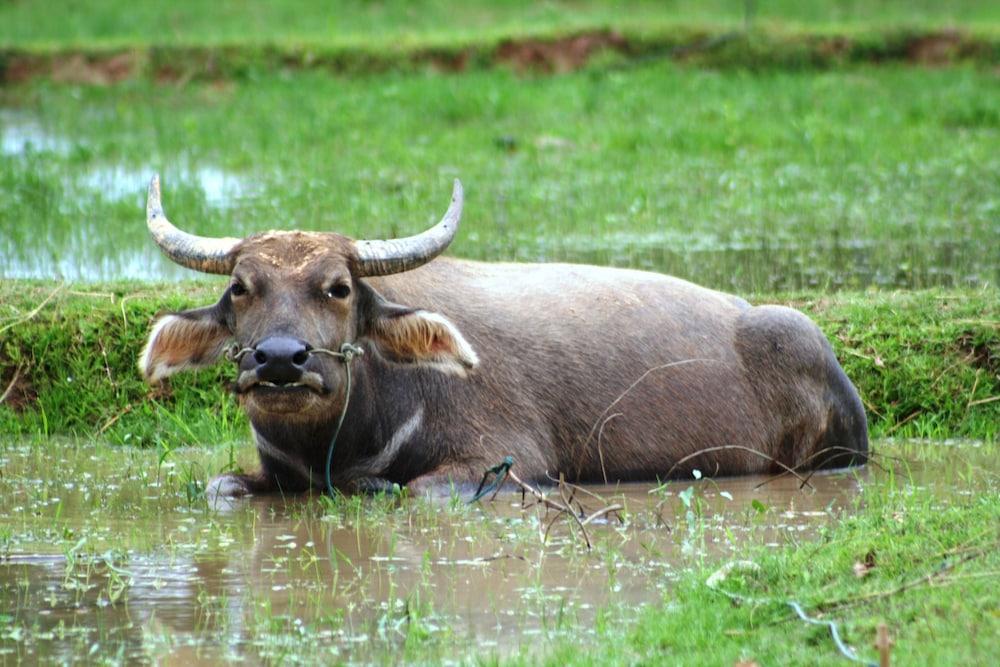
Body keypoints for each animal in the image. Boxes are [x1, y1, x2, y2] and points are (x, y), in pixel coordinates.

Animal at [139, 175, 868, 498]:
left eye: (338, 287)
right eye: (241, 287)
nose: (281, 359)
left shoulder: (506, 459)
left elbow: (418, 489)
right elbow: (221, 487)